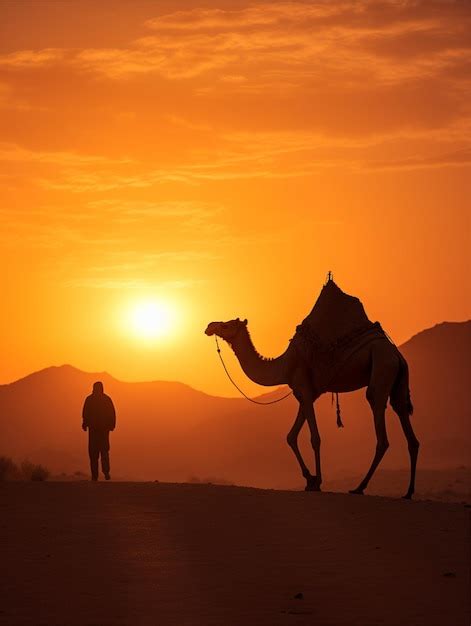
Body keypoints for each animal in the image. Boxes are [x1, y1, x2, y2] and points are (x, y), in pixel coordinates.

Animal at [205, 316, 418, 498]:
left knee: (380, 425)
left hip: (382, 368)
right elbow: (291, 436)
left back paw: (359, 488)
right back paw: (408, 492)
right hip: (398, 380)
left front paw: (317, 482)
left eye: (226, 325)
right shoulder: (305, 395)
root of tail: (397, 355)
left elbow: (315, 438)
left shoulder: (305, 389)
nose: (209, 326)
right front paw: (309, 479)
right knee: (405, 421)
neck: (284, 365)